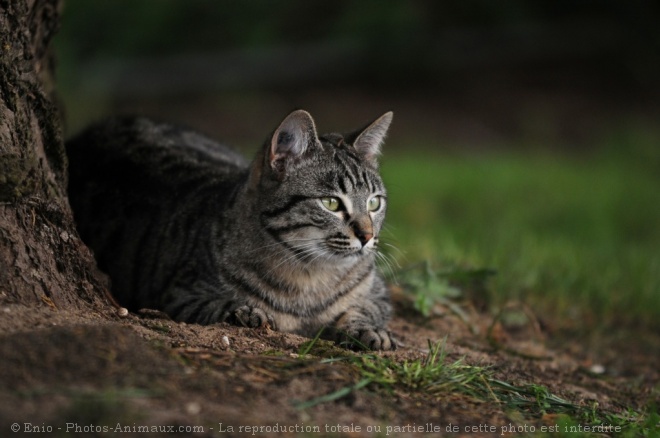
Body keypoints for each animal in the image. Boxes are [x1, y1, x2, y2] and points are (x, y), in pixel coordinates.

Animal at [67, 109, 398, 350]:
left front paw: (369, 331)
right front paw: (247, 312)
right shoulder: (181, 294)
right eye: (331, 203)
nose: (368, 236)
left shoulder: (378, 295)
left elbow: (364, 311)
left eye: (374, 202)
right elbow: (224, 304)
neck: (310, 278)